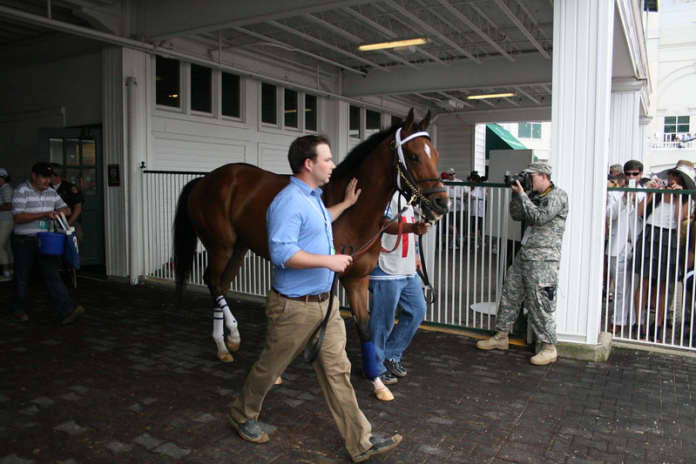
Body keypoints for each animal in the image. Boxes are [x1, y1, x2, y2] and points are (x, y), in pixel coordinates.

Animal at [171, 108, 448, 398]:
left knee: (221, 286)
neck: (352, 214)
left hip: (238, 249)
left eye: (435, 154)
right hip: (220, 246)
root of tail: (206, 179)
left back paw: (225, 346)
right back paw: (231, 338)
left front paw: (378, 383)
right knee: (213, 282)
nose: (442, 203)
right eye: (414, 156)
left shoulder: (357, 279)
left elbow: (364, 328)